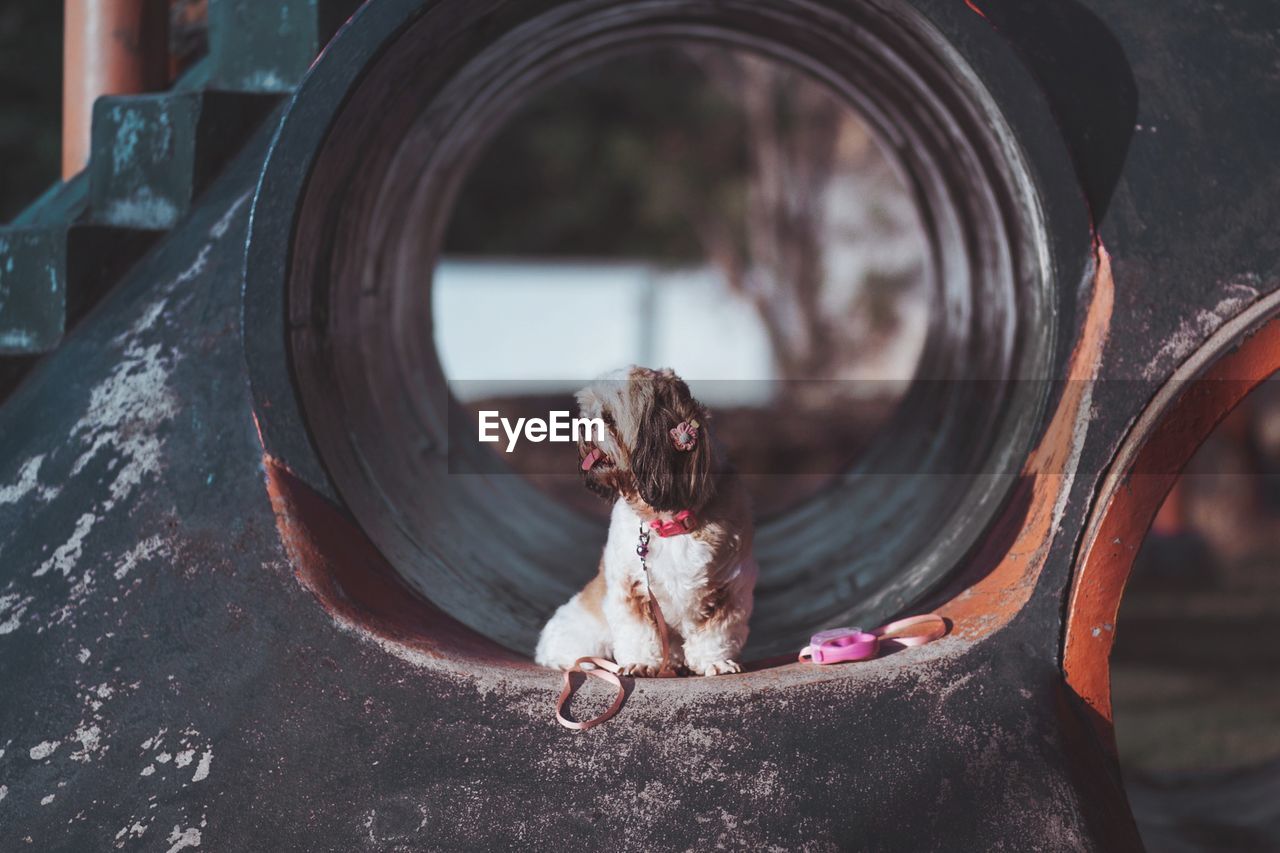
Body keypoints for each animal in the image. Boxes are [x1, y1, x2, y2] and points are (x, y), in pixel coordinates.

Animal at [532, 366, 752, 676]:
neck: (669, 521)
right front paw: (641, 663)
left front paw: (715, 662)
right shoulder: (631, 589)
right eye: (586, 412)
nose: (583, 425)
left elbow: (716, 632)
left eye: (608, 417)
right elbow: (638, 630)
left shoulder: (730, 590)